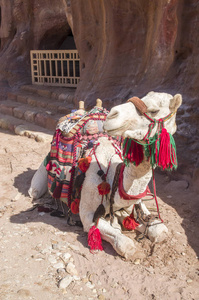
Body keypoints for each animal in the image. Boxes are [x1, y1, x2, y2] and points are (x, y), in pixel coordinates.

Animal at [78, 91, 181, 260]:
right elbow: (124, 243)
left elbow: (160, 231)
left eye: (154, 110)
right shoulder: (87, 215)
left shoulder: (136, 204)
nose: (112, 115)